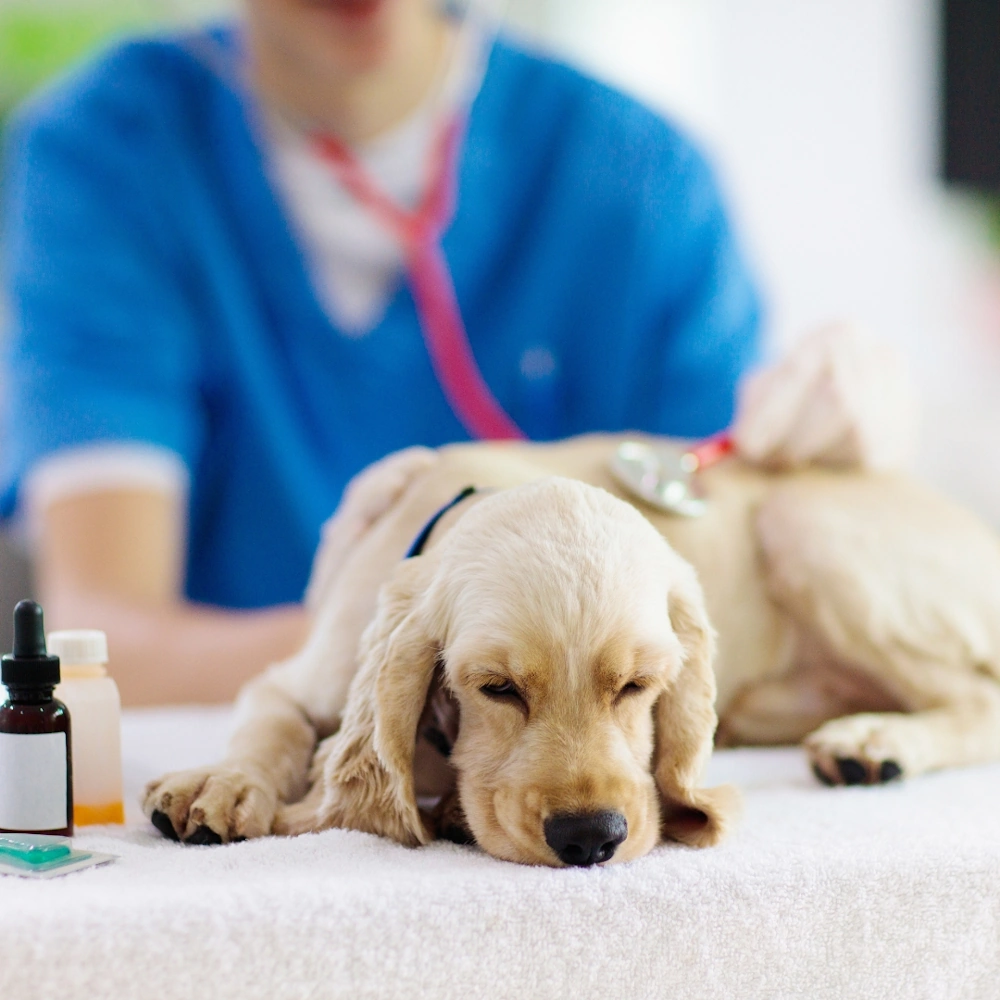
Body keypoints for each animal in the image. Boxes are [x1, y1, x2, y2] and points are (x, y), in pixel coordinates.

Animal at [143, 434, 1000, 864]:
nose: (590, 840)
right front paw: (222, 782)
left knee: (979, 696)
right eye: (495, 688)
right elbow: (271, 723)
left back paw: (874, 739)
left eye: (639, 687)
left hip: (799, 524)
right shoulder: (301, 675)